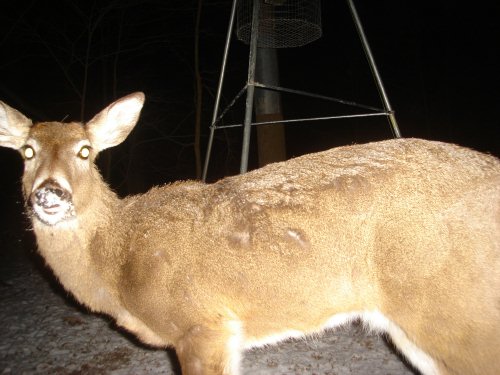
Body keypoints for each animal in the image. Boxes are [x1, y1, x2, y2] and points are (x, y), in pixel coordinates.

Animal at [0, 92, 498, 375]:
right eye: (27, 152)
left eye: (85, 151)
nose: (49, 192)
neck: (118, 262)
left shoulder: (202, 324)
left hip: (452, 312)